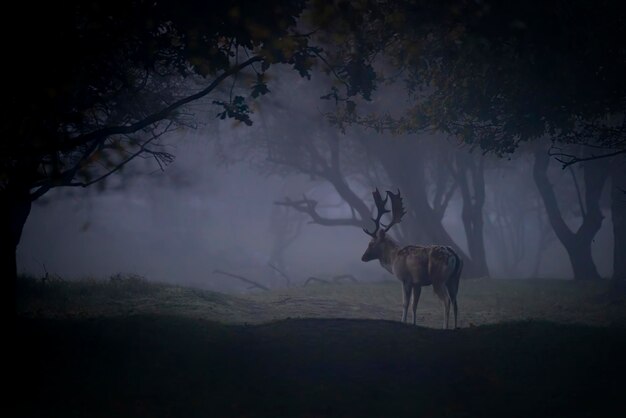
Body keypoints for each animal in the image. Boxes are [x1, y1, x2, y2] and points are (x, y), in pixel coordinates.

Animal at [358, 189, 460, 330]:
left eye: (371, 243)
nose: (363, 257)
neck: (393, 259)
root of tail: (454, 255)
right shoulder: (417, 283)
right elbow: (414, 304)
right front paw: (414, 323)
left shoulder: (405, 279)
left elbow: (405, 303)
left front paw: (403, 321)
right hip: (454, 279)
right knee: (456, 302)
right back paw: (455, 327)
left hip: (438, 279)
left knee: (447, 300)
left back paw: (445, 327)